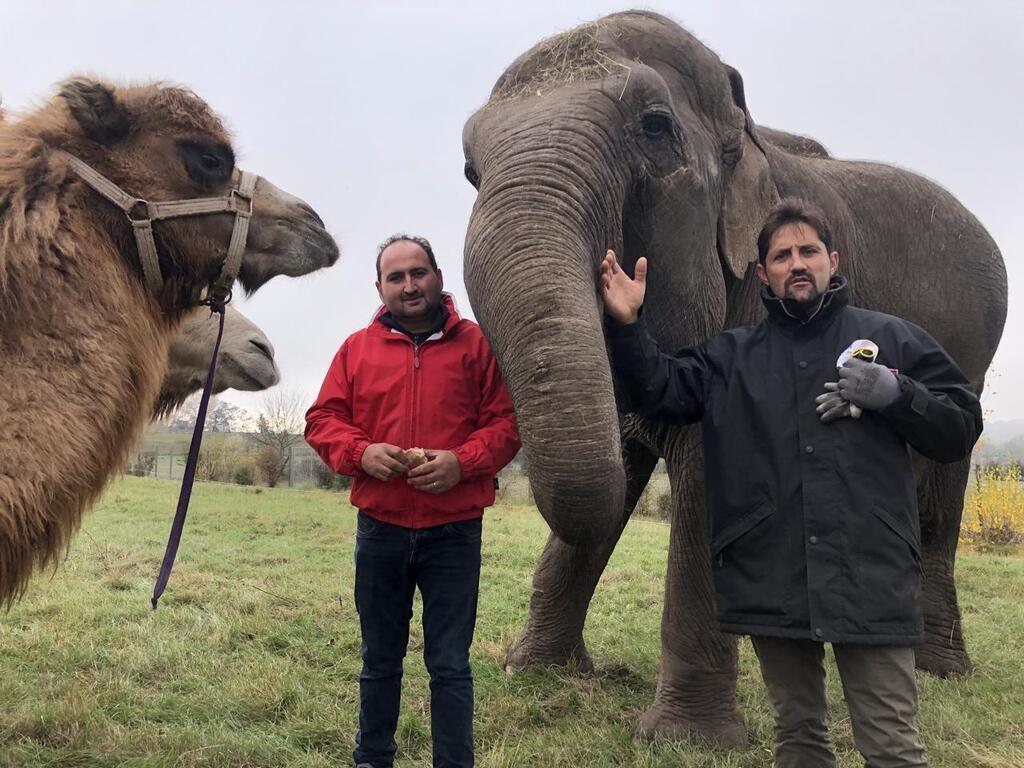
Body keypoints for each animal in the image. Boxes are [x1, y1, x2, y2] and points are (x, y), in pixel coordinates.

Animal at [460, 9, 1003, 749]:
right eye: (469, 170)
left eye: (654, 127)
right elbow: (620, 451)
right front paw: (535, 671)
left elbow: (707, 473)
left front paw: (686, 741)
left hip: (969, 360)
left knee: (938, 492)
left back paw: (937, 669)